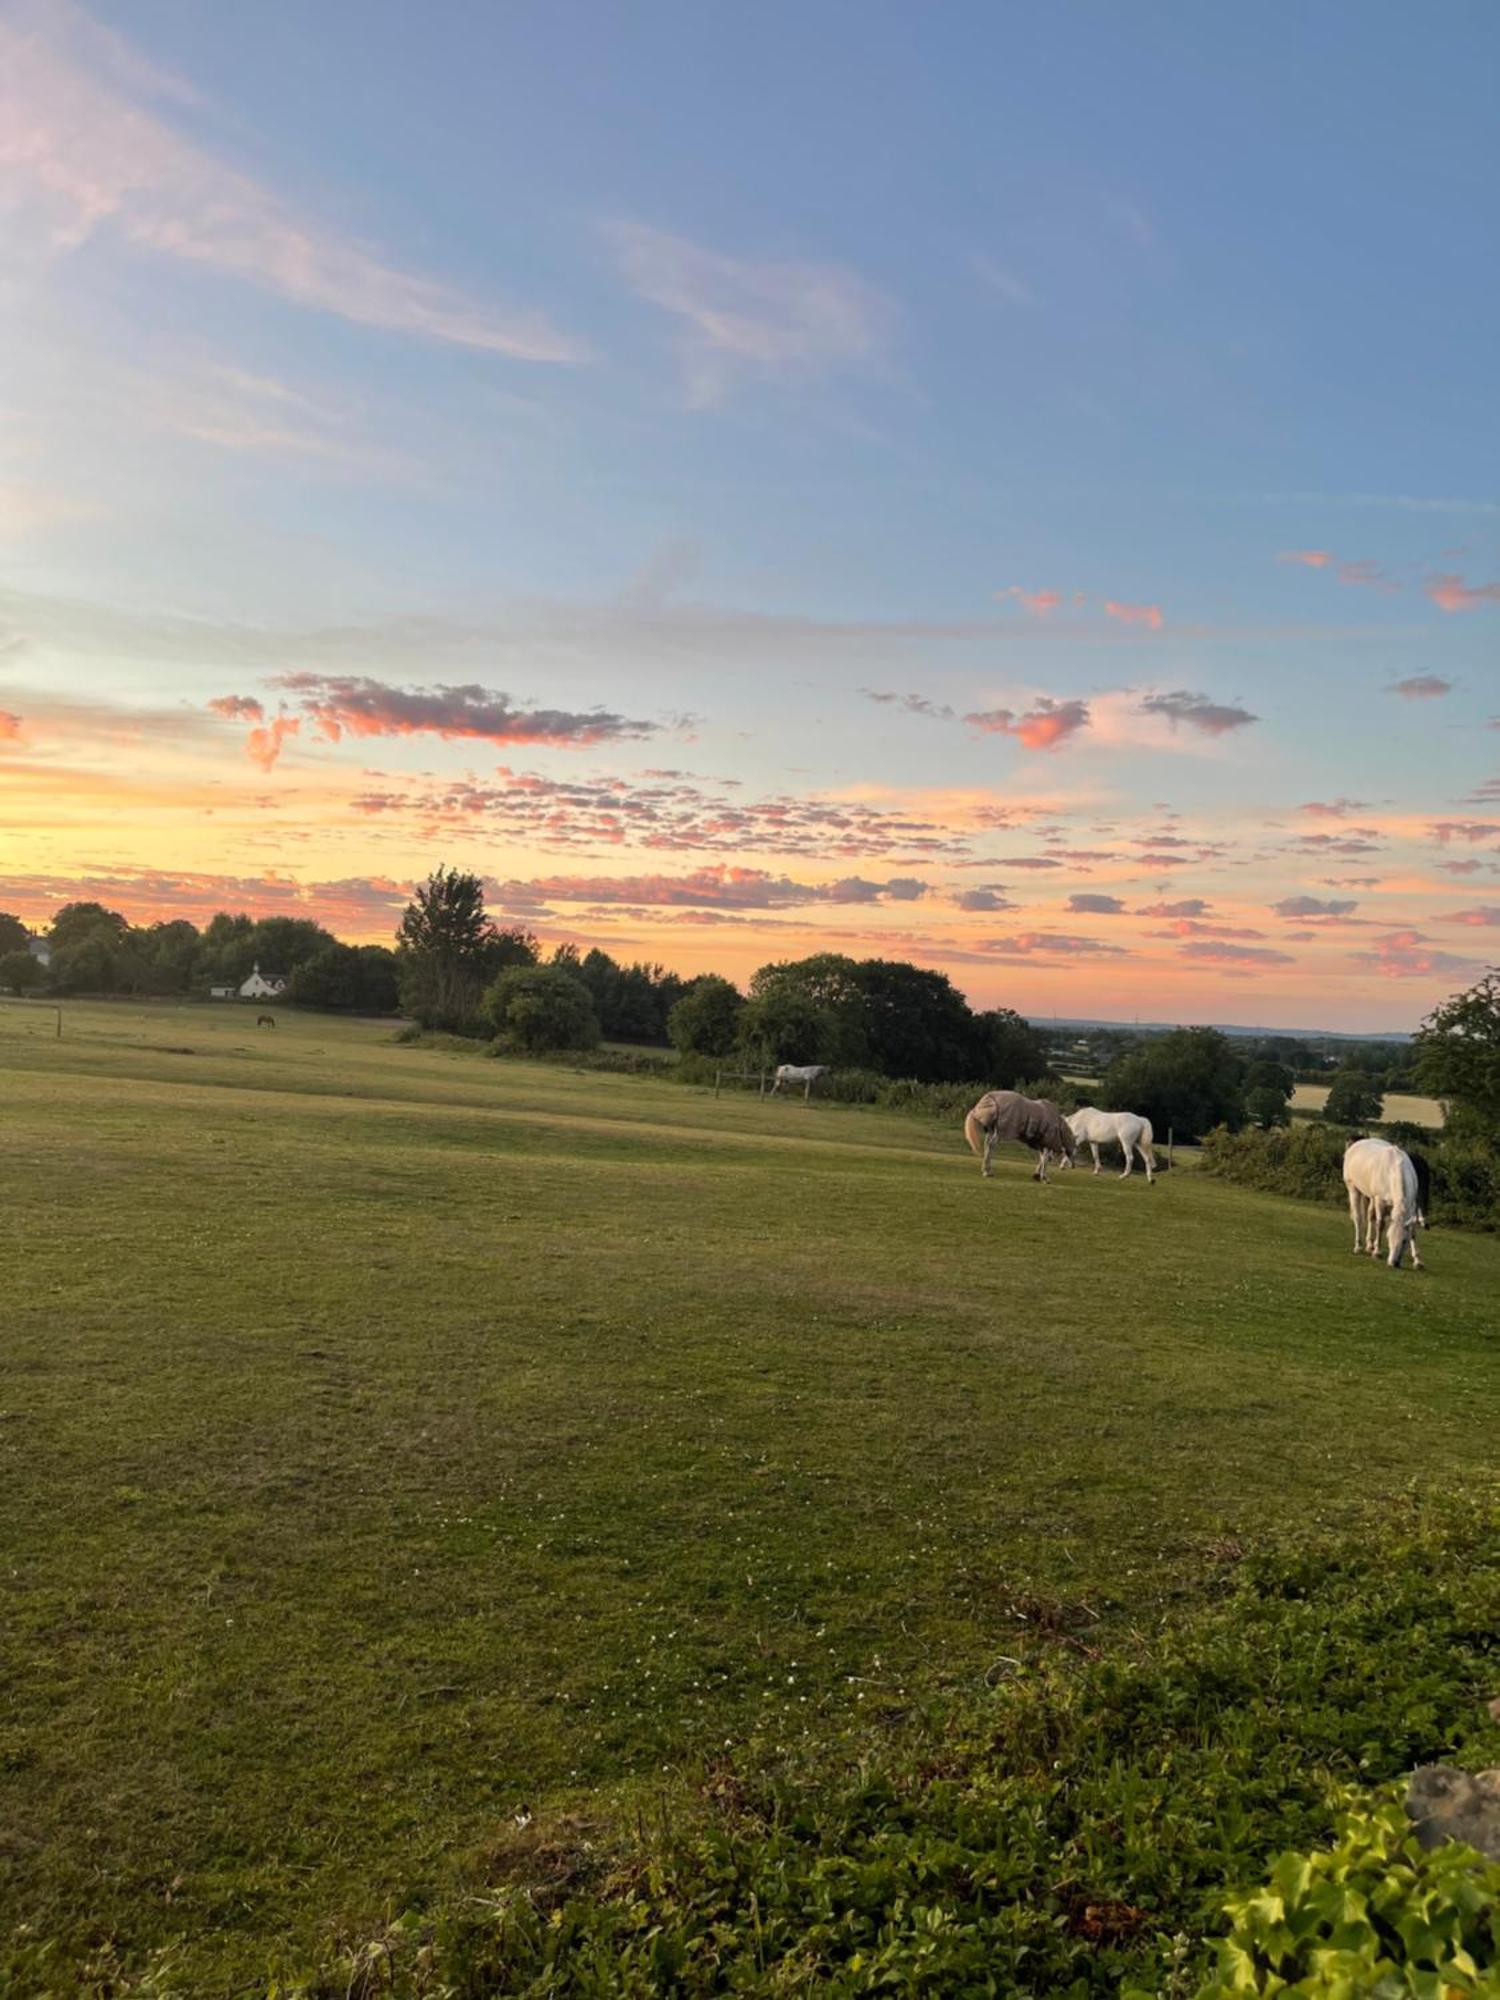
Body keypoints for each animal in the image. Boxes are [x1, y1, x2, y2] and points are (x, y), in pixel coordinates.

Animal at [1344, 1136, 1424, 1272]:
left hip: (1371, 1197)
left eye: (1404, 1241)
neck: (1393, 1171)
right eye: (1388, 1238)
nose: (1393, 1263)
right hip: (1353, 1188)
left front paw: (1417, 1261)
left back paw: (1369, 1245)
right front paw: (1377, 1252)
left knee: (1370, 1216)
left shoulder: (1411, 1206)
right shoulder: (1380, 1202)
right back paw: (1358, 1246)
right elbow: (1380, 1225)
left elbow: (1413, 1231)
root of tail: (1356, 1144)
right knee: (1358, 1218)